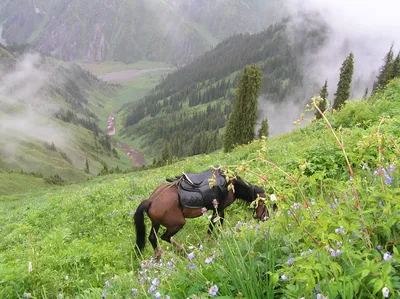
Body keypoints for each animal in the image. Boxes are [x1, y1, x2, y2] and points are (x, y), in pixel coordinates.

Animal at [134, 171, 268, 258]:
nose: (265, 218)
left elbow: (216, 225)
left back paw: (158, 257)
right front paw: (213, 240)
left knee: (152, 238)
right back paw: (183, 251)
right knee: (164, 237)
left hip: (155, 223)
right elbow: (214, 225)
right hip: (177, 223)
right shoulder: (220, 208)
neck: (232, 184)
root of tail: (151, 201)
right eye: (264, 203)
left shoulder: (219, 209)